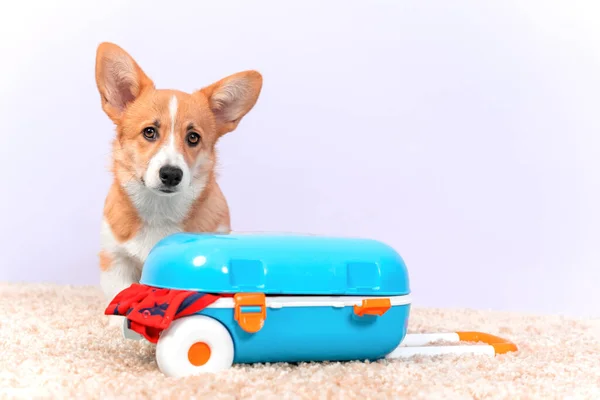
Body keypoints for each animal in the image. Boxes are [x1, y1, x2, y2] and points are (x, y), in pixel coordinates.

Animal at [94, 42, 262, 320]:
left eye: (193, 137)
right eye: (149, 132)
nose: (171, 174)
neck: (159, 209)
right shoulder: (115, 258)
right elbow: (120, 294)